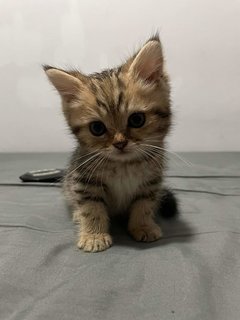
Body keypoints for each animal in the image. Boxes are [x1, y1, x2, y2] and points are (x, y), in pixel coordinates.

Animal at [44, 35, 177, 252]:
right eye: (97, 128)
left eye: (137, 119)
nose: (120, 143)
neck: (124, 165)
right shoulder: (84, 182)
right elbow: (91, 208)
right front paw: (94, 235)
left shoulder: (151, 182)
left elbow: (144, 205)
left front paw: (143, 226)